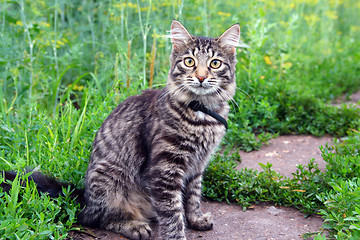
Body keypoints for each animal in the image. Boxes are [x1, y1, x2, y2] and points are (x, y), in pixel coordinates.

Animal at [0, 20, 242, 240]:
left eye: (215, 64)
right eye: (189, 62)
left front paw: (196, 219)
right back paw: (134, 227)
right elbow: (172, 214)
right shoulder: (164, 169)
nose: (201, 77)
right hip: (109, 180)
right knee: (97, 218)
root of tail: (83, 196)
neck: (202, 113)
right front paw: (178, 234)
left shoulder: (197, 165)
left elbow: (192, 197)